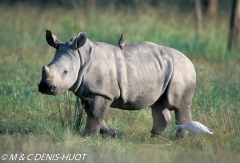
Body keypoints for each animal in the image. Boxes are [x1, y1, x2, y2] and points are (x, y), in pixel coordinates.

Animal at [38, 29, 196, 138]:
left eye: (65, 72)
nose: (45, 87)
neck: (81, 57)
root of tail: (190, 61)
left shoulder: (102, 92)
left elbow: (95, 114)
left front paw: (87, 137)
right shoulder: (87, 90)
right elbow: (91, 112)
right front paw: (111, 134)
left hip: (182, 70)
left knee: (179, 105)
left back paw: (179, 141)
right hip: (164, 71)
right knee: (158, 103)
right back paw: (153, 137)